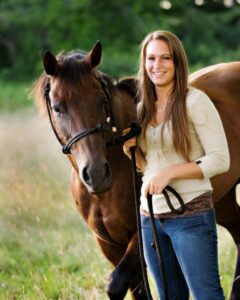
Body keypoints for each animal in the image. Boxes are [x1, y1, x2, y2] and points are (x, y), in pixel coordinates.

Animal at [32, 42, 240, 300]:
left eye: (101, 101)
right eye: (58, 108)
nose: (97, 174)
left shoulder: (138, 237)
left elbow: (117, 283)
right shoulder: (109, 243)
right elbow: (136, 288)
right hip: (222, 201)